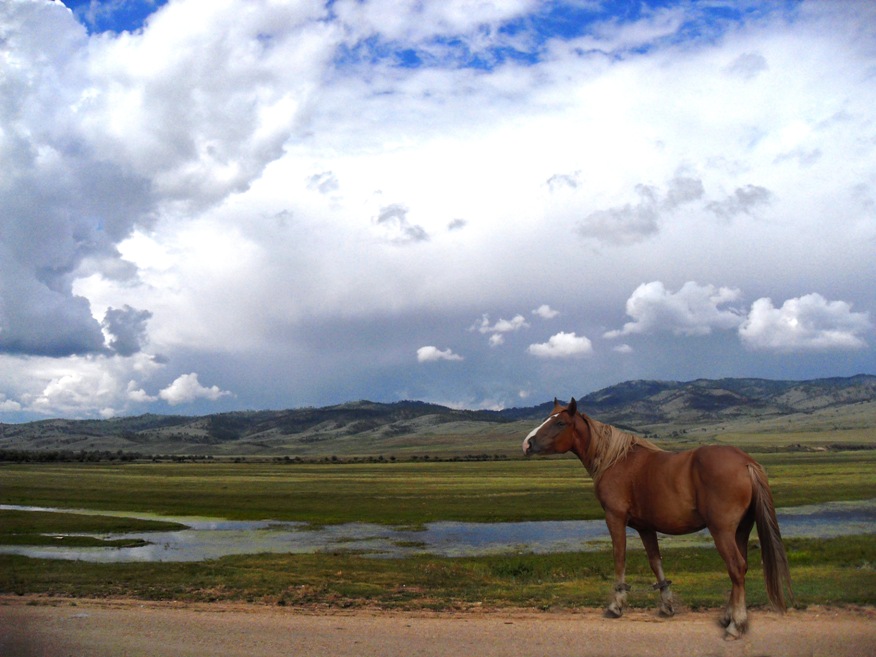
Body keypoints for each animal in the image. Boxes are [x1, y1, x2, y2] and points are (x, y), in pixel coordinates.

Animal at [520, 398, 792, 640]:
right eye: (546, 418)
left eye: (560, 423)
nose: (527, 444)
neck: (615, 459)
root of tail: (746, 463)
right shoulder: (646, 528)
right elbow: (656, 563)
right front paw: (666, 606)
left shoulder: (615, 518)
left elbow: (619, 558)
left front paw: (616, 605)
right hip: (740, 530)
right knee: (740, 569)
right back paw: (728, 617)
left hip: (722, 531)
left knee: (736, 567)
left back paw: (736, 625)